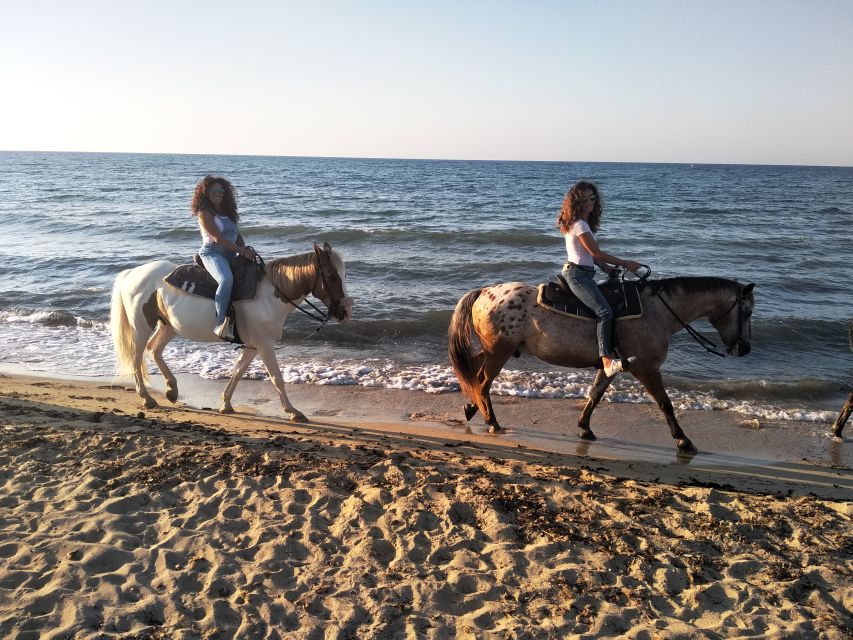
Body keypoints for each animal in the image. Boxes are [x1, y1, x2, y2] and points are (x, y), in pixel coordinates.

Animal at [111, 241, 352, 420]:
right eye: (332, 276)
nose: (346, 312)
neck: (269, 296)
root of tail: (132, 273)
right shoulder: (264, 345)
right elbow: (276, 378)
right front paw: (293, 412)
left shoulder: (253, 346)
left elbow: (237, 372)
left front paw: (226, 404)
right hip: (141, 326)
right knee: (137, 356)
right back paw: (147, 397)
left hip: (169, 326)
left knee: (155, 349)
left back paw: (171, 390)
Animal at [446, 278, 752, 452]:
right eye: (747, 311)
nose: (745, 349)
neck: (659, 311)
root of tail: (485, 292)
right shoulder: (647, 368)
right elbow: (665, 404)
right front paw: (683, 439)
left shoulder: (611, 366)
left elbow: (595, 395)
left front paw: (585, 427)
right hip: (499, 352)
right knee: (483, 382)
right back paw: (492, 422)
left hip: (493, 351)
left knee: (475, 375)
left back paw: (472, 408)